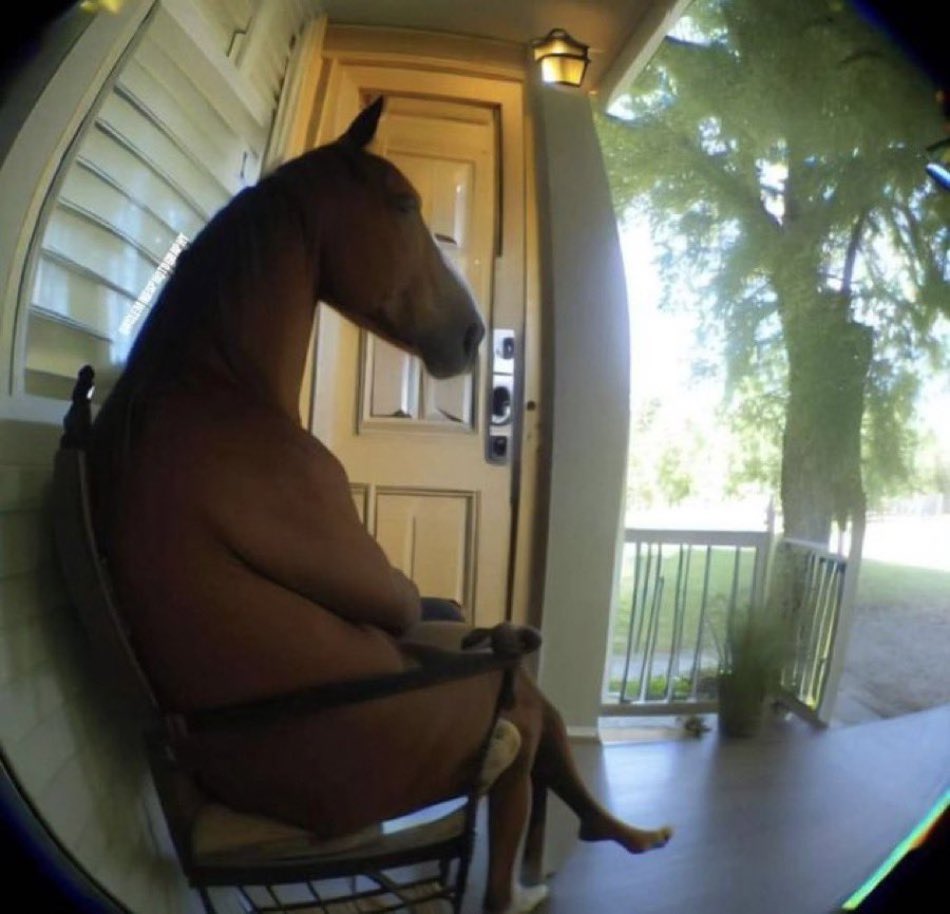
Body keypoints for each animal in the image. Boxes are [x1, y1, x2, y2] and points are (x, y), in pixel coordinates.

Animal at [89, 98, 671, 914]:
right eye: (402, 203)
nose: (475, 334)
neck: (213, 383)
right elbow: (399, 599)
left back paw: (615, 835)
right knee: (516, 782)